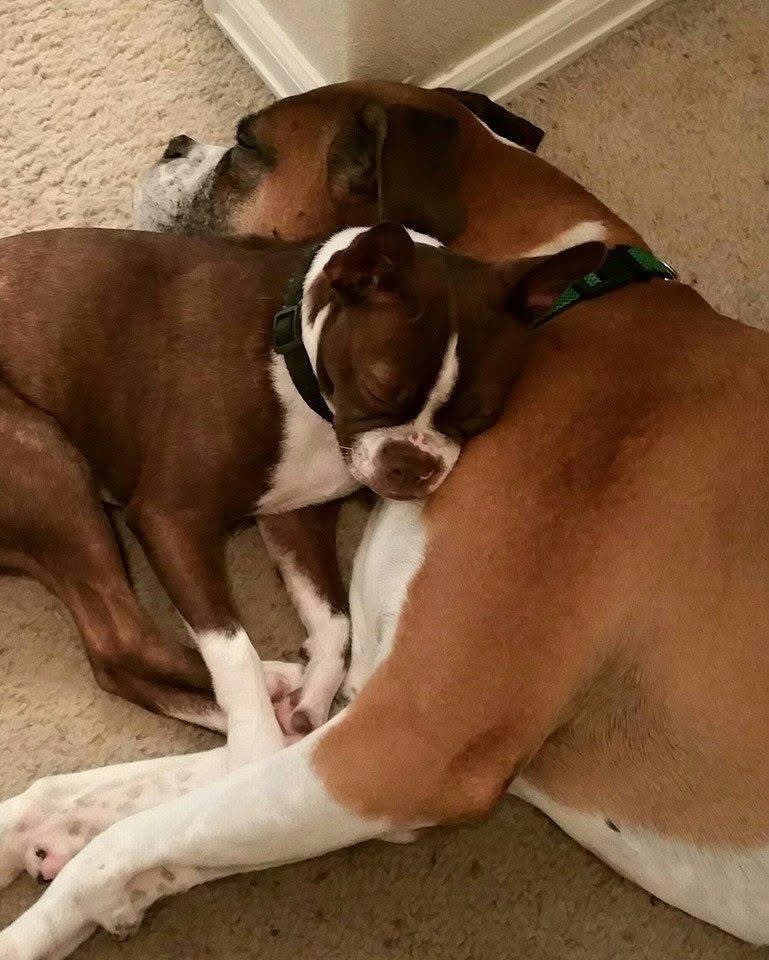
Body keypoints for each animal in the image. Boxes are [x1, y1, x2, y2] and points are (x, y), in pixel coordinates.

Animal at [2, 80, 769, 955]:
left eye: (245, 144)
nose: (174, 143)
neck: (578, 299)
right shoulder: (367, 717)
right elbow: (147, 793)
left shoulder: (401, 745)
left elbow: (139, 833)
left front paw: (54, 914)